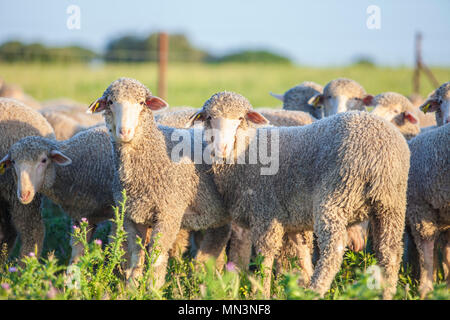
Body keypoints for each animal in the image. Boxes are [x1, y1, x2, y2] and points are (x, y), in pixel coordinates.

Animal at [86, 78, 232, 288]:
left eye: (141, 103)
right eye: (111, 102)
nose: (124, 131)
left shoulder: (169, 212)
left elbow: (157, 256)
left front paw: (153, 288)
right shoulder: (132, 216)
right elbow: (135, 255)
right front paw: (132, 287)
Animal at [187, 91, 412, 298]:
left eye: (240, 118)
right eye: (209, 118)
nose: (221, 148)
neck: (246, 149)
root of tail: (379, 154)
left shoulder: (265, 213)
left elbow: (265, 258)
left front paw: (261, 292)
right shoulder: (294, 222)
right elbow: (302, 256)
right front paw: (297, 286)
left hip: (334, 197)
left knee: (333, 252)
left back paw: (316, 291)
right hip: (391, 204)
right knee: (390, 253)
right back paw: (387, 293)